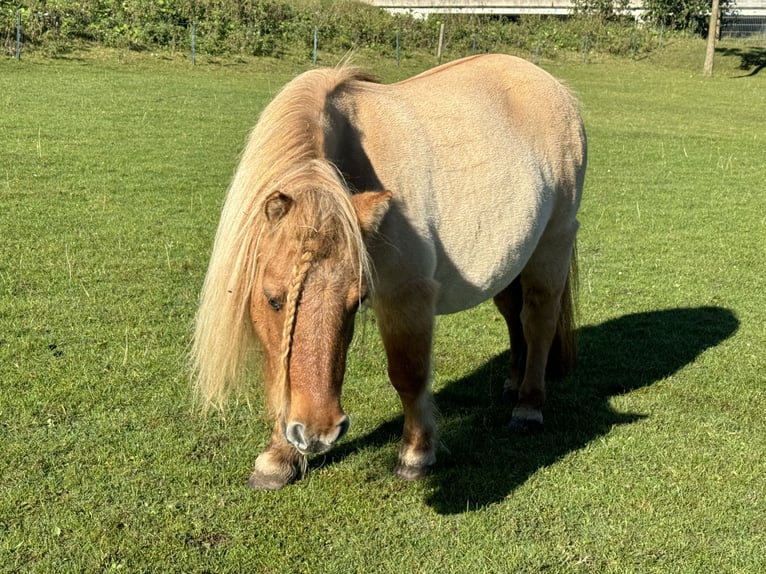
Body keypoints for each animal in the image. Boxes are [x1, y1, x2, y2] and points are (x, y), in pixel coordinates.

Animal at [194, 55, 588, 490]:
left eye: (356, 302)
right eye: (274, 300)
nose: (317, 434)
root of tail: (554, 86)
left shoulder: (405, 295)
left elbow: (408, 374)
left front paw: (416, 455)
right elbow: (279, 379)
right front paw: (278, 459)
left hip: (552, 244)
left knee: (538, 321)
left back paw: (528, 406)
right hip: (513, 258)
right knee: (513, 314)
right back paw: (513, 383)